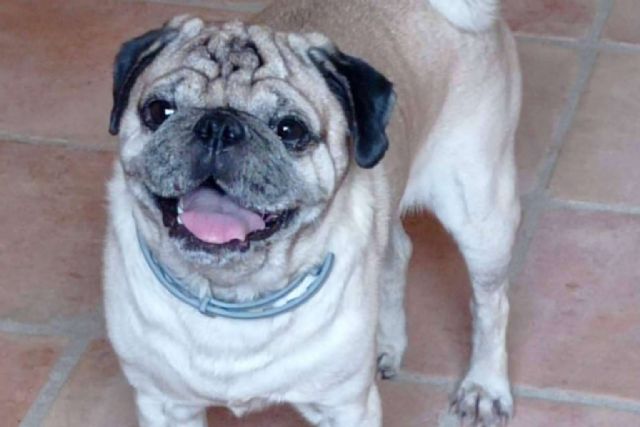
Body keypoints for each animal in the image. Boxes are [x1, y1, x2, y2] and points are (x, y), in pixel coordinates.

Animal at [103, 0, 521, 425]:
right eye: (159, 111)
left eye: (290, 130)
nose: (218, 125)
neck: (233, 295)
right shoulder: (164, 404)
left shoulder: (346, 408)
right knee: (397, 253)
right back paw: (387, 341)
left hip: (479, 213)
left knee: (491, 304)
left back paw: (484, 387)